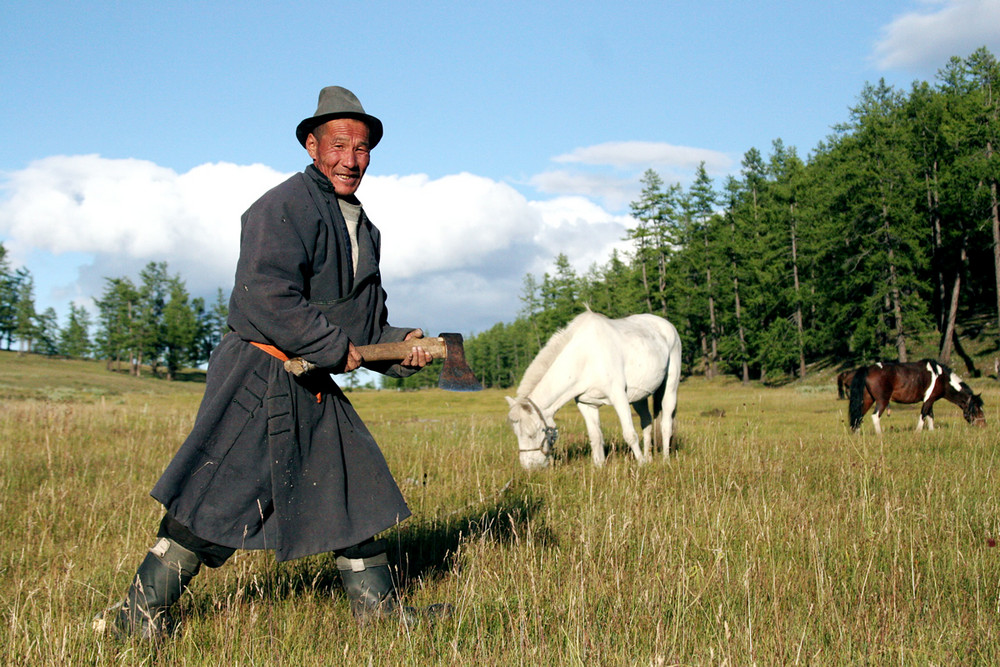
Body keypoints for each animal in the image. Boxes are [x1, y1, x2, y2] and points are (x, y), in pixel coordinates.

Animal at [504, 310, 684, 470]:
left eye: (532, 434)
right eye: (516, 434)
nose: (529, 467)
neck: (586, 358)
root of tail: (666, 325)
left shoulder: (619, 397)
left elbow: (630, 434)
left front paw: (641, 465)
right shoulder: (587, 404)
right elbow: (595, 437)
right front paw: (599, 467)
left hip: (670, 387)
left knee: (666, 424)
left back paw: (665, 460)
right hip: (640, 396)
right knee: (647, 422)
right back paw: (649, 457)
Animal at [848, 360, 988, 434]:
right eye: (976, 409)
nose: (983, 426)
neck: (942, 379)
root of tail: (867, 369)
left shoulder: (930, 401)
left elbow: (930, 416)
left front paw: (931, 432)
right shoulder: (928, 400)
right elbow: (923, 416)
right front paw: (918, 432)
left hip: (868, 399)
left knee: (858, 416)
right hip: (882, 401)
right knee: (875, 416)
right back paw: (879, 435)